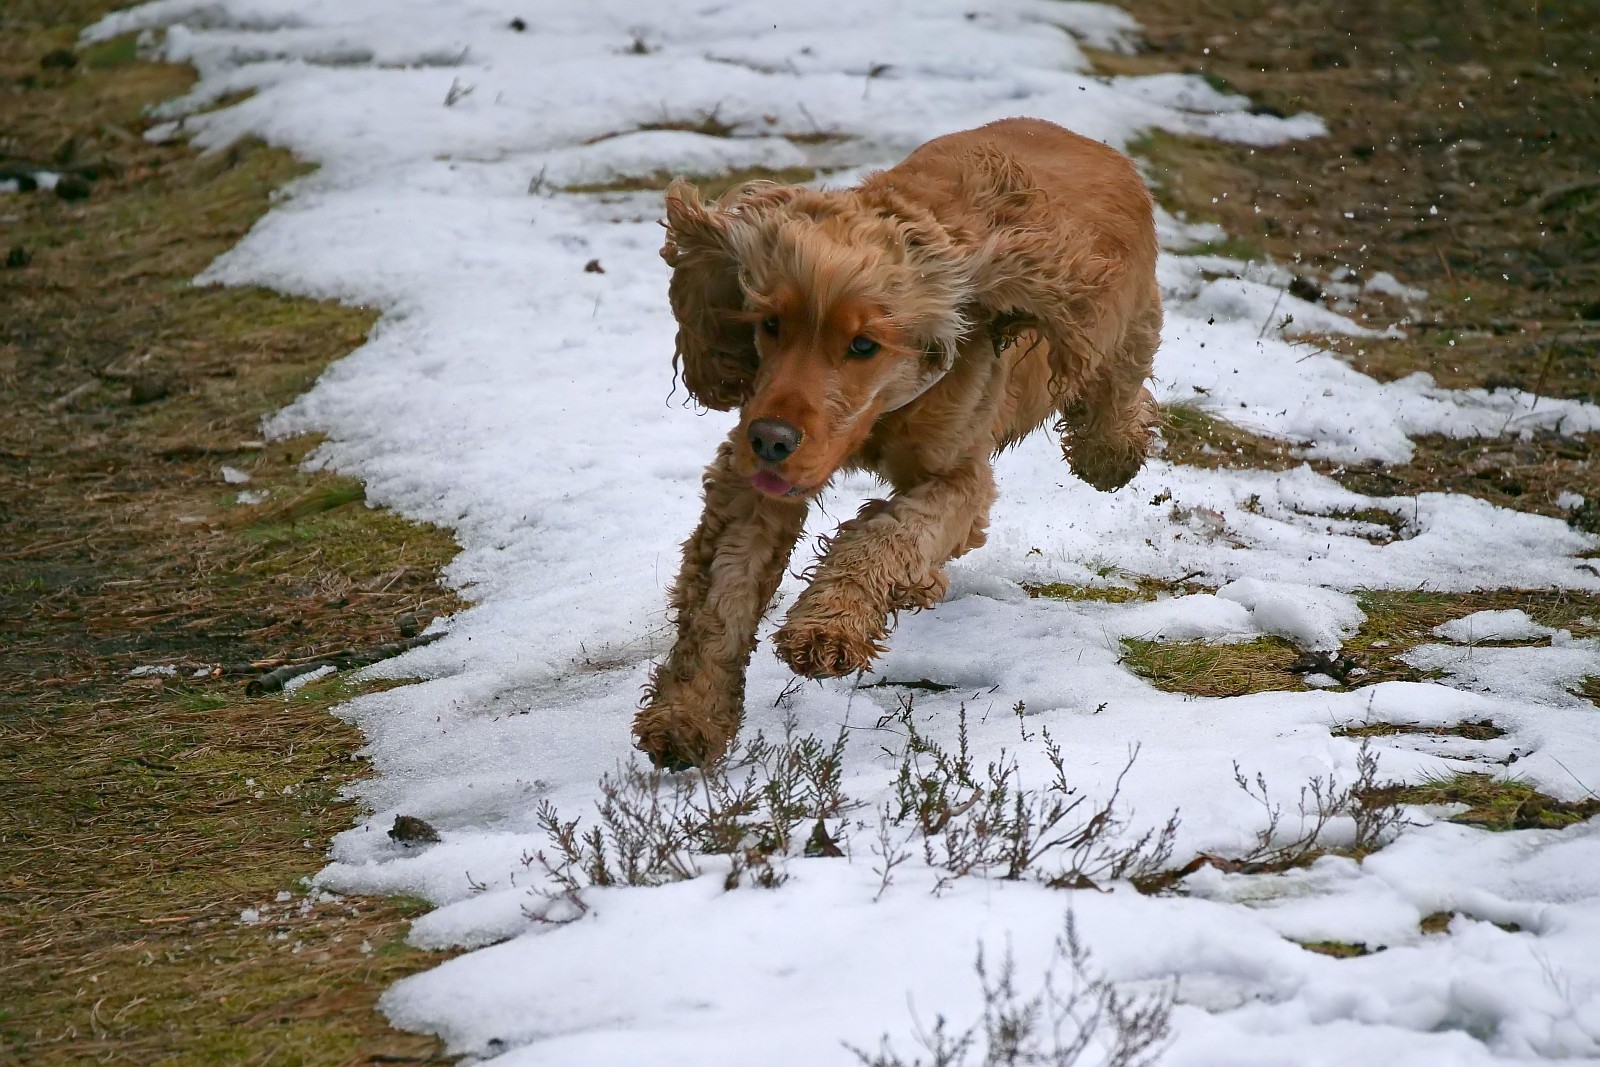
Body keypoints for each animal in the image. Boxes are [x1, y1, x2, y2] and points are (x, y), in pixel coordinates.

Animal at [627, 115, 1164, 767]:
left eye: (864, 345)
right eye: (769, 323)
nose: (772, 439)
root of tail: (1089, 141)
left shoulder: (957, 477)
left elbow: (886, 536)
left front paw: (826, 627)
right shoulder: (753, 480)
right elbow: (722, 594)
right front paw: (687, 717)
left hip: (1120, 333)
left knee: (1113, 401)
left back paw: (1113, 454)